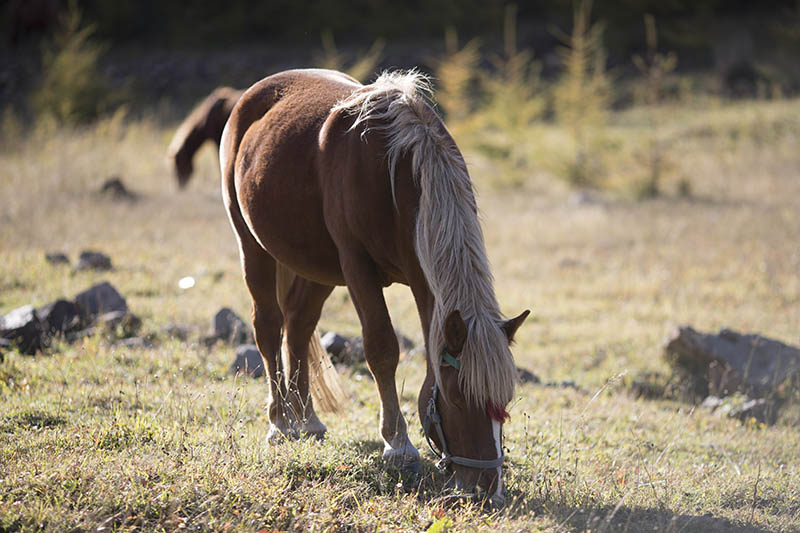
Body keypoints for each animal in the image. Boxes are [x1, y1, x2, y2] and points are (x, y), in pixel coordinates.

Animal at [222, 68, 528, 504]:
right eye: (457, 397)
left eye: (505, 400)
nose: (487, 489)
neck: (395, 174)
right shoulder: (357, 268)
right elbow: (382, 349)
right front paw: (398, 446)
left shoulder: (416, 279)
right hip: (253, 246)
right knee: (268, 327)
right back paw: (280, 423)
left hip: (318, 268)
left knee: (298, 325)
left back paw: (307, 421)